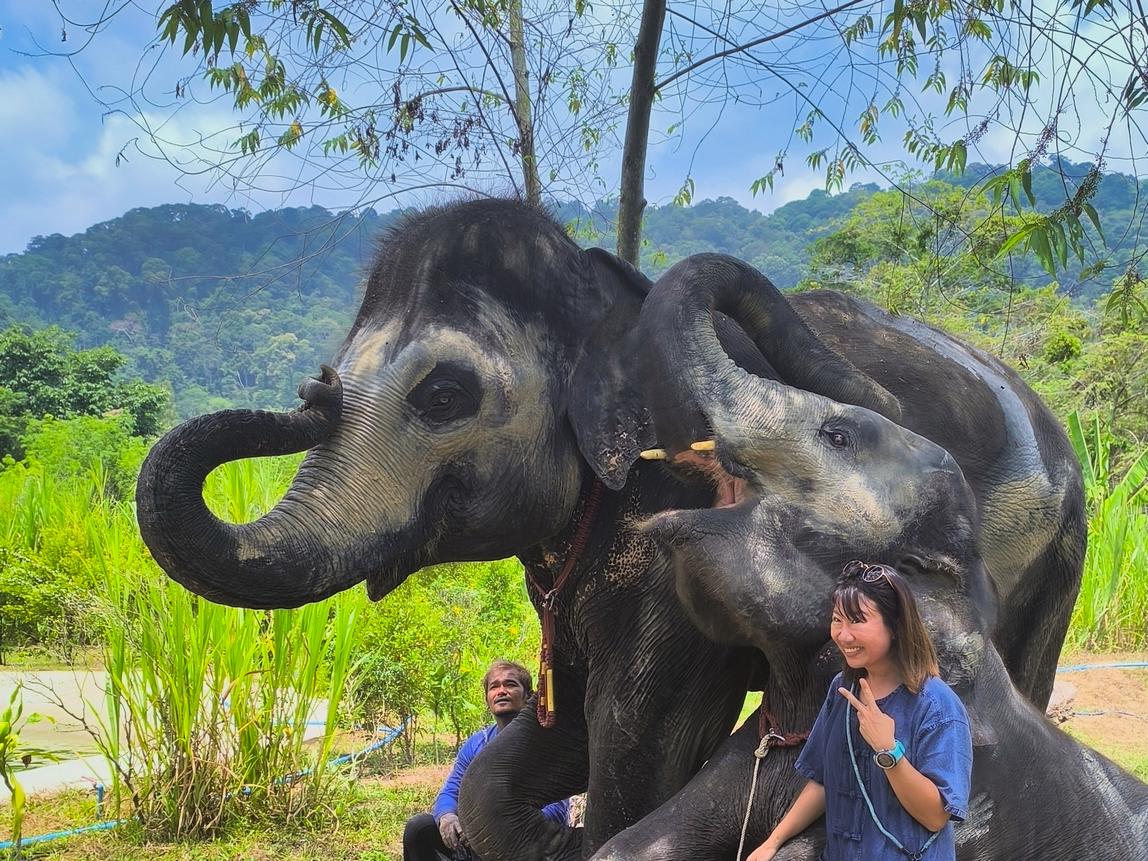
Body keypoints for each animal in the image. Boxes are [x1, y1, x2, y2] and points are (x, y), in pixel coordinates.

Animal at [135, 202, 1083, 861]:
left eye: (442, 395)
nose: (313, 389)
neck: (601, 296)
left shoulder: (674, 537)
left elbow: (638, 728)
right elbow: (549, 733)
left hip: (1053, 554)